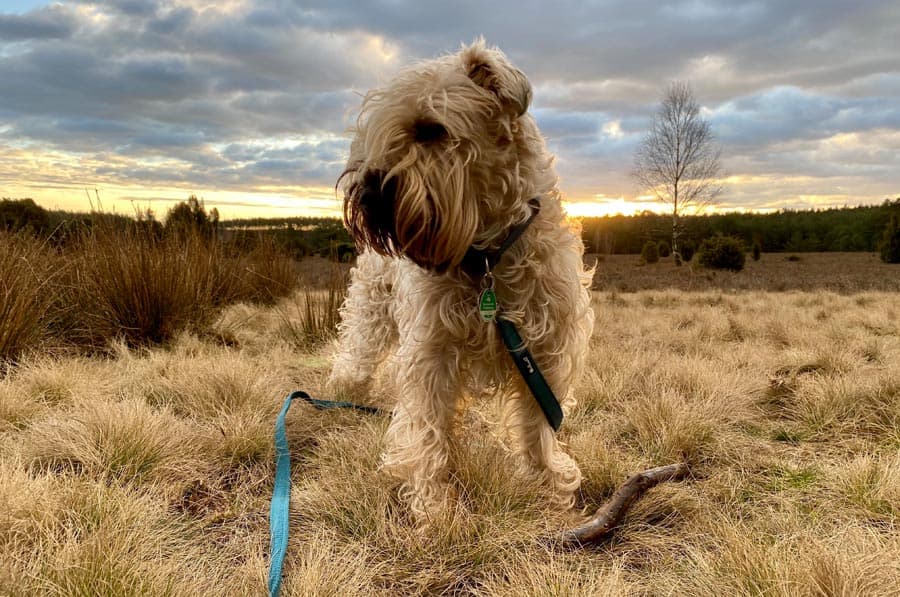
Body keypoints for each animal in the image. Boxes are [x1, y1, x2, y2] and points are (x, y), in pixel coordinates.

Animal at [326, 40, 596, 516]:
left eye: (431, 129)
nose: (367, 191)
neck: (486, 255)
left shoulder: (545, 348)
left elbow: (537, 422)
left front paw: (546, 479)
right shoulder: (432, 348)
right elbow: (427, 425)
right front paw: (433, 501)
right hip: (371, 313)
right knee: (356, 353)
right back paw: (343, 388)